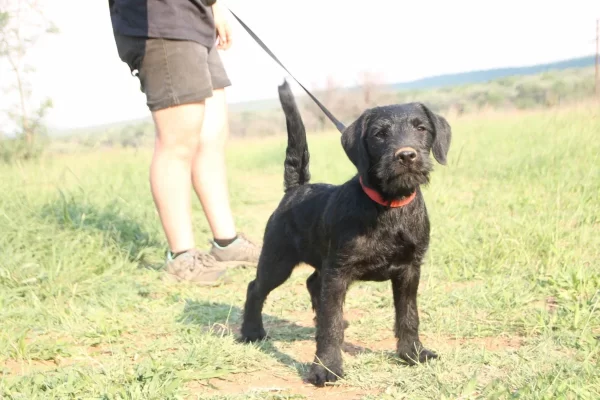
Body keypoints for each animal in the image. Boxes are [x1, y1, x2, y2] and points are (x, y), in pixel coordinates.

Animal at [239, 79, 450, 386]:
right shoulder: (338, 272)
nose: (406, 155)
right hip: (277, 261)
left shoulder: (410, 269)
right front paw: (326, 368)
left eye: (421, 128)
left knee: (313, 283)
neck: (386, 206)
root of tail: (296, 189)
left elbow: (408, 315)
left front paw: (413, 353)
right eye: (379, 134)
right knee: (256, 288)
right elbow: (331, 326)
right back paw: (251, 332)